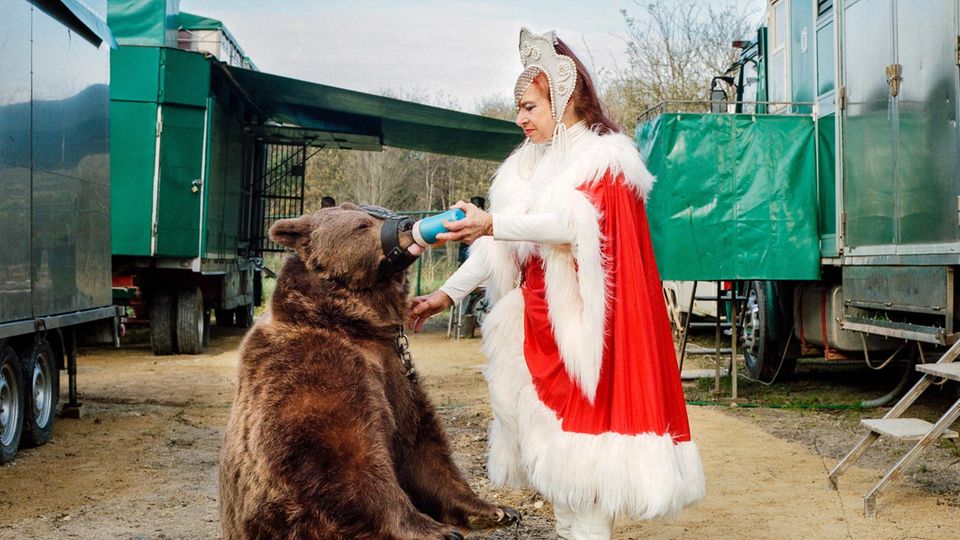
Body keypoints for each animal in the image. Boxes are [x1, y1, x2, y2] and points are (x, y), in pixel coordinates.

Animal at [218, 205, 516, 536]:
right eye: (361, 225)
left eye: (383, 211)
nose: (407, 224)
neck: (356, 323)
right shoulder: (321, 369)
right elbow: (349, 457)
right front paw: (433, 529)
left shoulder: (398, 371)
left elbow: (423, 446)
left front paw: (495, 509)